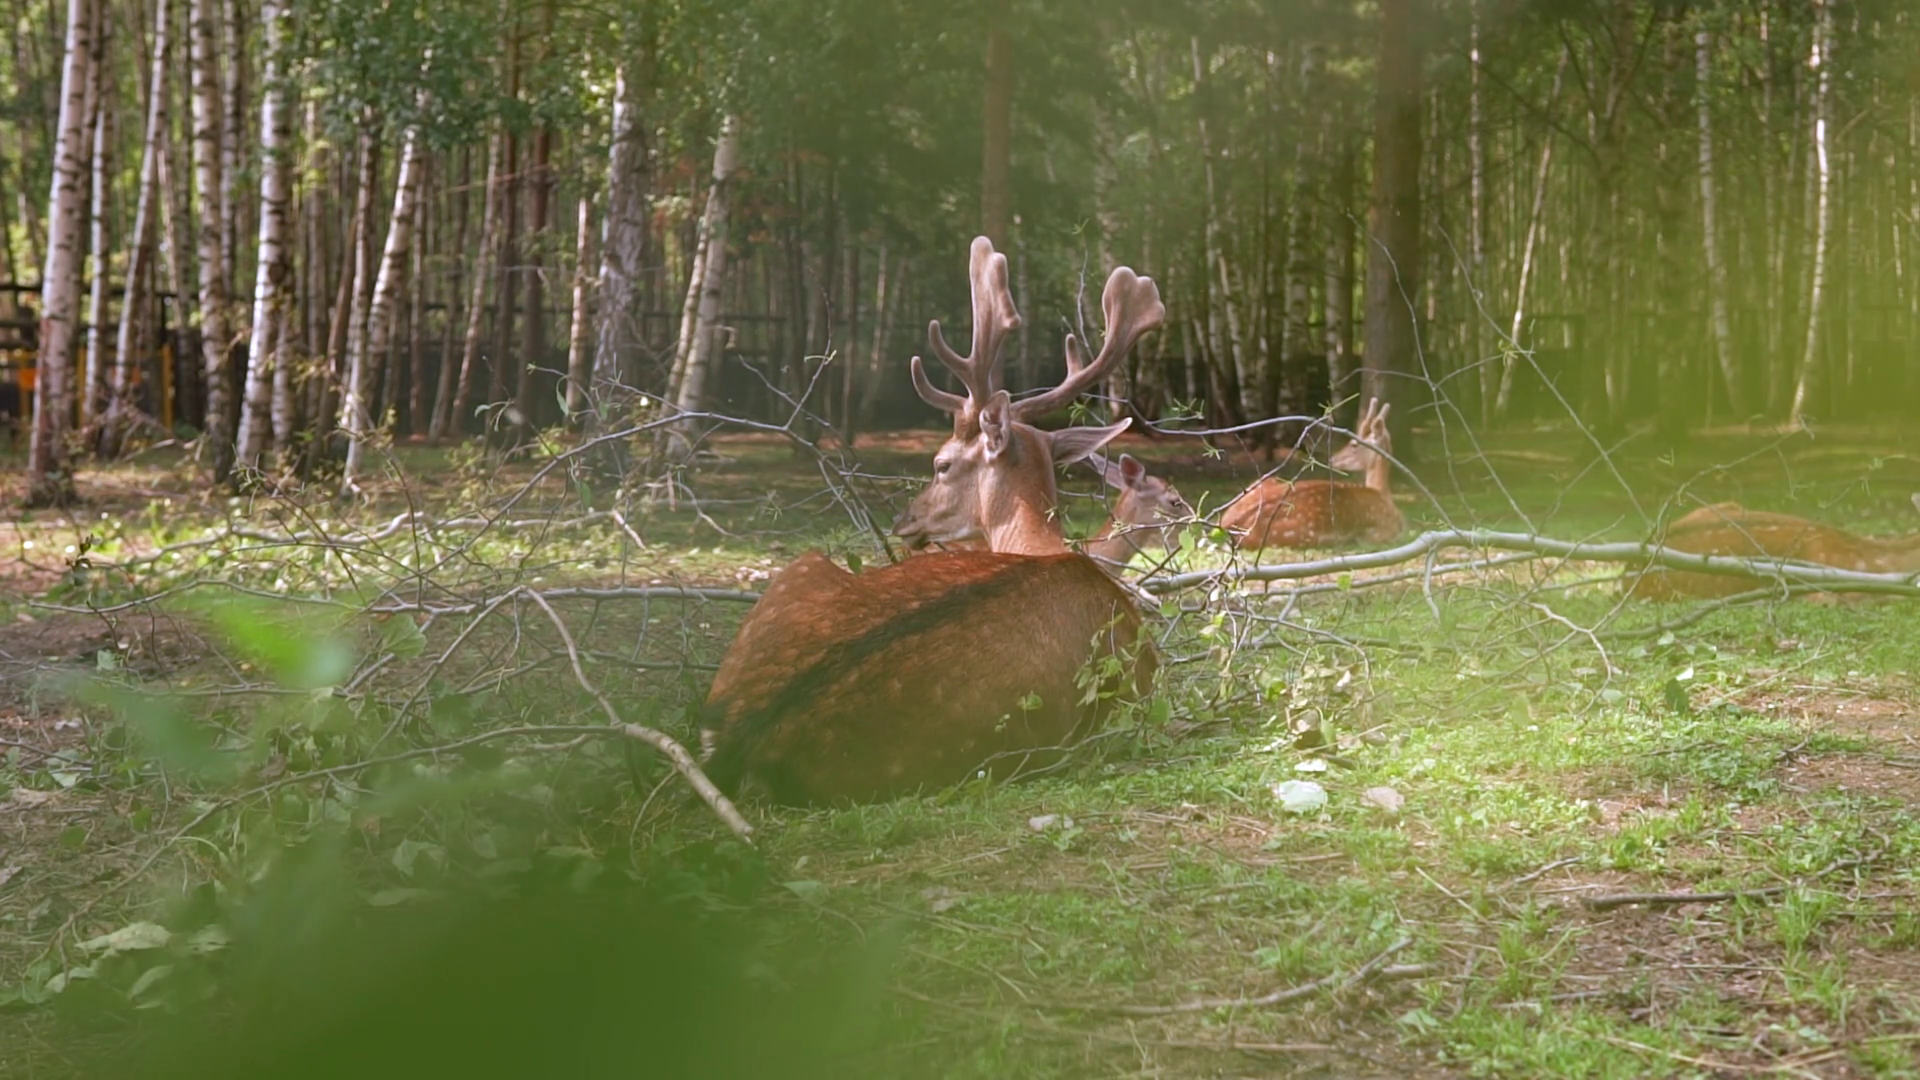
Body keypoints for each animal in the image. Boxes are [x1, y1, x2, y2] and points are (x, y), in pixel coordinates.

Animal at [1218, 397, 1404, 552]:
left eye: (1354, 444)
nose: (1332, 458)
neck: (1383, 496)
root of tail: (1224, 526)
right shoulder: (1384, 531)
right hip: (1299, 536)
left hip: (1265, 480)